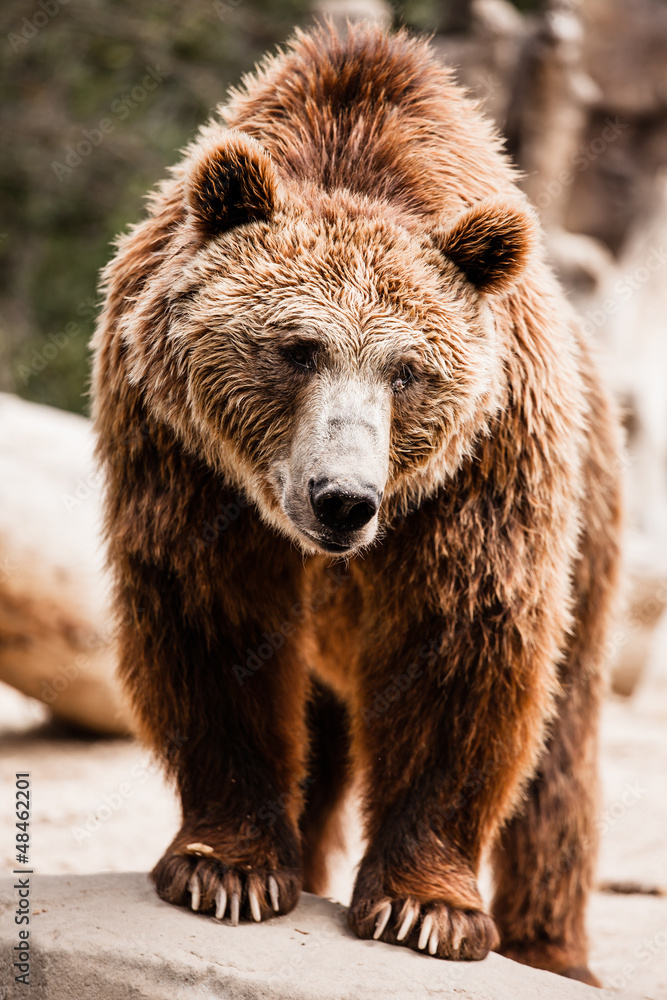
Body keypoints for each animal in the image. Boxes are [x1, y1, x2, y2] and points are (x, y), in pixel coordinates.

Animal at [91, 21, 621, 987]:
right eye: (297, 348)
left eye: (407, 370)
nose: (343, 500)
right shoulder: (180, 453)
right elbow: (212, 620)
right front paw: (227, 870)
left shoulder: (481, 467)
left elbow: (461, 645)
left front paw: (425, 907)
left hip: (590, 535)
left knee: (560, 751)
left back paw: (552, 951)